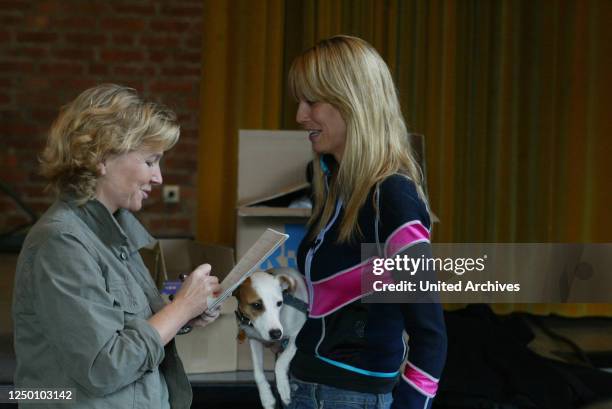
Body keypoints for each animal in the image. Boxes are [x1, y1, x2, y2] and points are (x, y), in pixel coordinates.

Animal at [234, 268, 310, 408]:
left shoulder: (297, 334)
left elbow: (281, 362)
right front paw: (266, 397)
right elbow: (258, 372)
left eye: (279, 303)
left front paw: (283, 387)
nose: (276, 334)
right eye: (256, 305)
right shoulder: (254, 340)